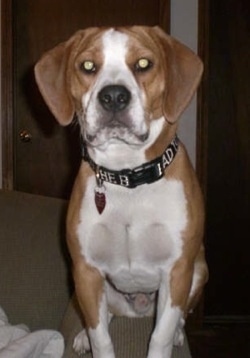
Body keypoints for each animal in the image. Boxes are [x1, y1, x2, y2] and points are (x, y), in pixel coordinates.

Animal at [34, 25, 207, 358]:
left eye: (143, 63)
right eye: (88, 66)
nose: (113, 96)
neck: (127, 175)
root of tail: (139, 307)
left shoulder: (177, 271)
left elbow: (160, 336)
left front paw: (168, 339)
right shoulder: (86, 272)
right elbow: (101, 336)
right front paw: (91, 339)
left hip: (199, 270)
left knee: (179, 317)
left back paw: (180, 333)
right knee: (103, 315)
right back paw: (81, 337)